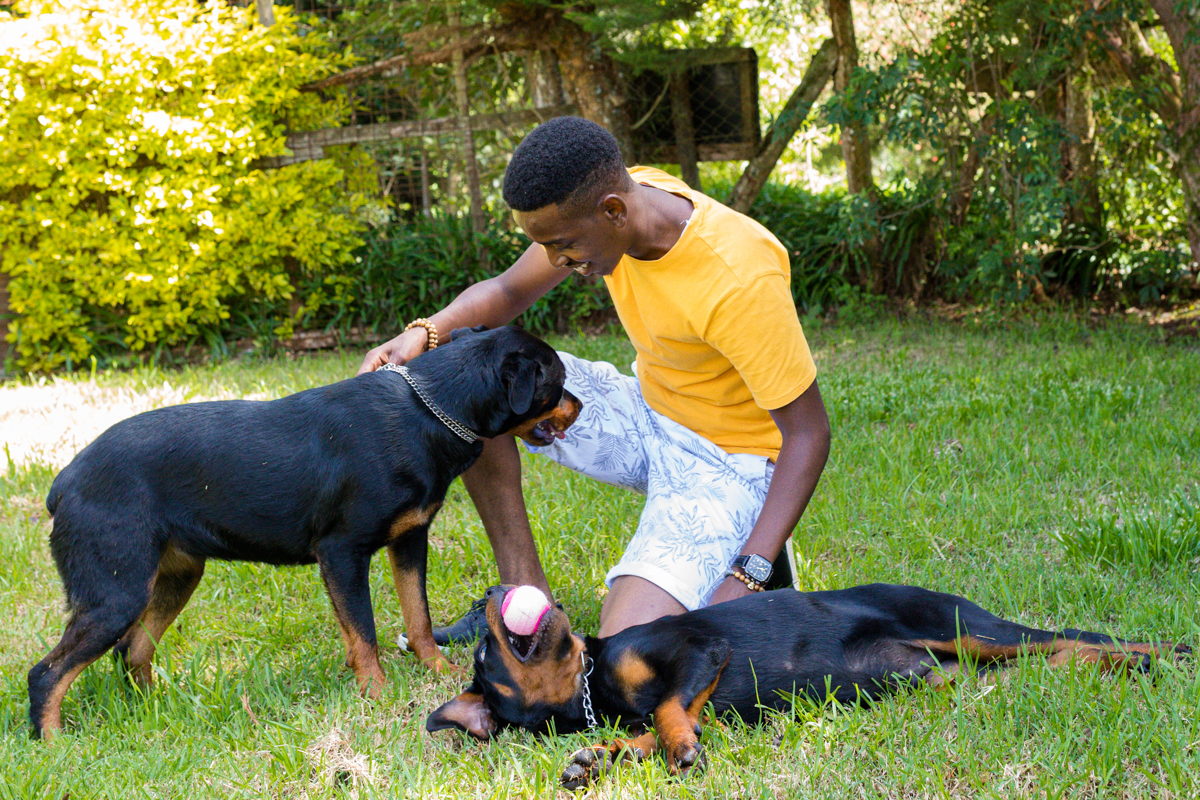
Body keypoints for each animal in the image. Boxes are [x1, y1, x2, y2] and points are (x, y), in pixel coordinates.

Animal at [30, 326, 583, 738]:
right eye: (556, 382)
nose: (579, 405)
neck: (430, 409)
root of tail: (64, 481)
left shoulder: (409, 539)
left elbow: (418, 617)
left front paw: (438, 672)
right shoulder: (342, 552)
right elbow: (364, 633)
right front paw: (377, 694)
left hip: (174, 577)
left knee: (133, 650)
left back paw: (154, 710)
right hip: (116, 591)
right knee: (48, 673)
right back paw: (54, 742)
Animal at [427, 582, 1185, 786]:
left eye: (483, 653)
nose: (497, 591)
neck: (595, 681)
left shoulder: (703, 650)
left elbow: (669, 709)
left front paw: (679, 749)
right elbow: (641, 737)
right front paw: (597, 758)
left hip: (970, 628)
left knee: (1075, 637)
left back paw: (1162, 653)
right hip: (957, 667)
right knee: (1045, 662)